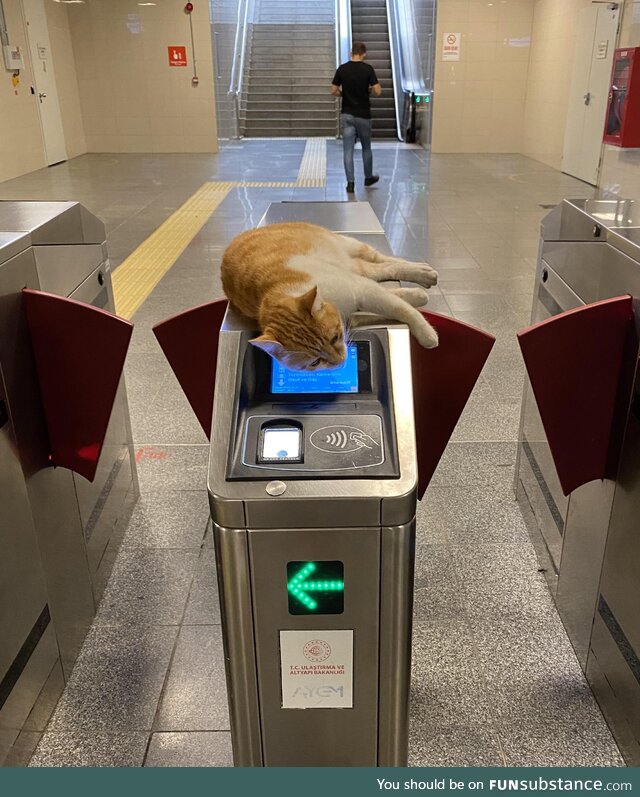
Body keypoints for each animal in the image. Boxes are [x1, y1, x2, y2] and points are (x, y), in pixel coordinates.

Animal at [221, 221, 440, 370]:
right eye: (315, 362)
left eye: (335, 338)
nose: (340, 361)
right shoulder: (357, 300)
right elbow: (394, 298)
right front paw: (415, 297)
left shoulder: (361, 289)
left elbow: (401, 308)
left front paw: (426, 333)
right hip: (355, 267)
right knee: (378, 268)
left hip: (352, 250)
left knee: (385, 262)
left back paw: (423, 271)